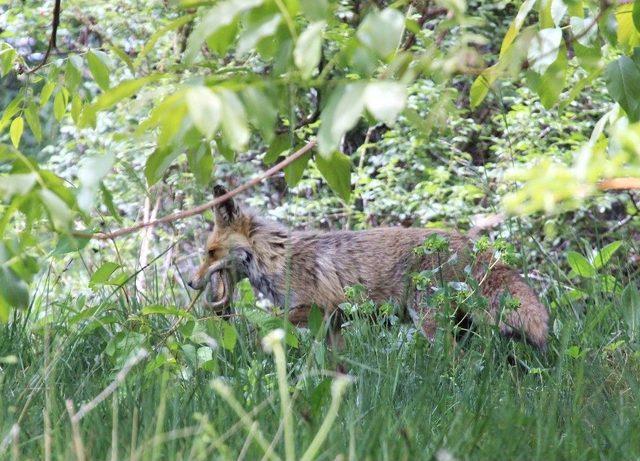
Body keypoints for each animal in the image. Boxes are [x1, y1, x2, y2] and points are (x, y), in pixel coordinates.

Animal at [186, 185, 552, 346]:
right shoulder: (331, 325)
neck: (279, 259)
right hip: (459, 325)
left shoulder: (315, 308)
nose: (191, 283)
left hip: (429, 320)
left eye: (210, 252)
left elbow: (265, 325)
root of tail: (467, 241)